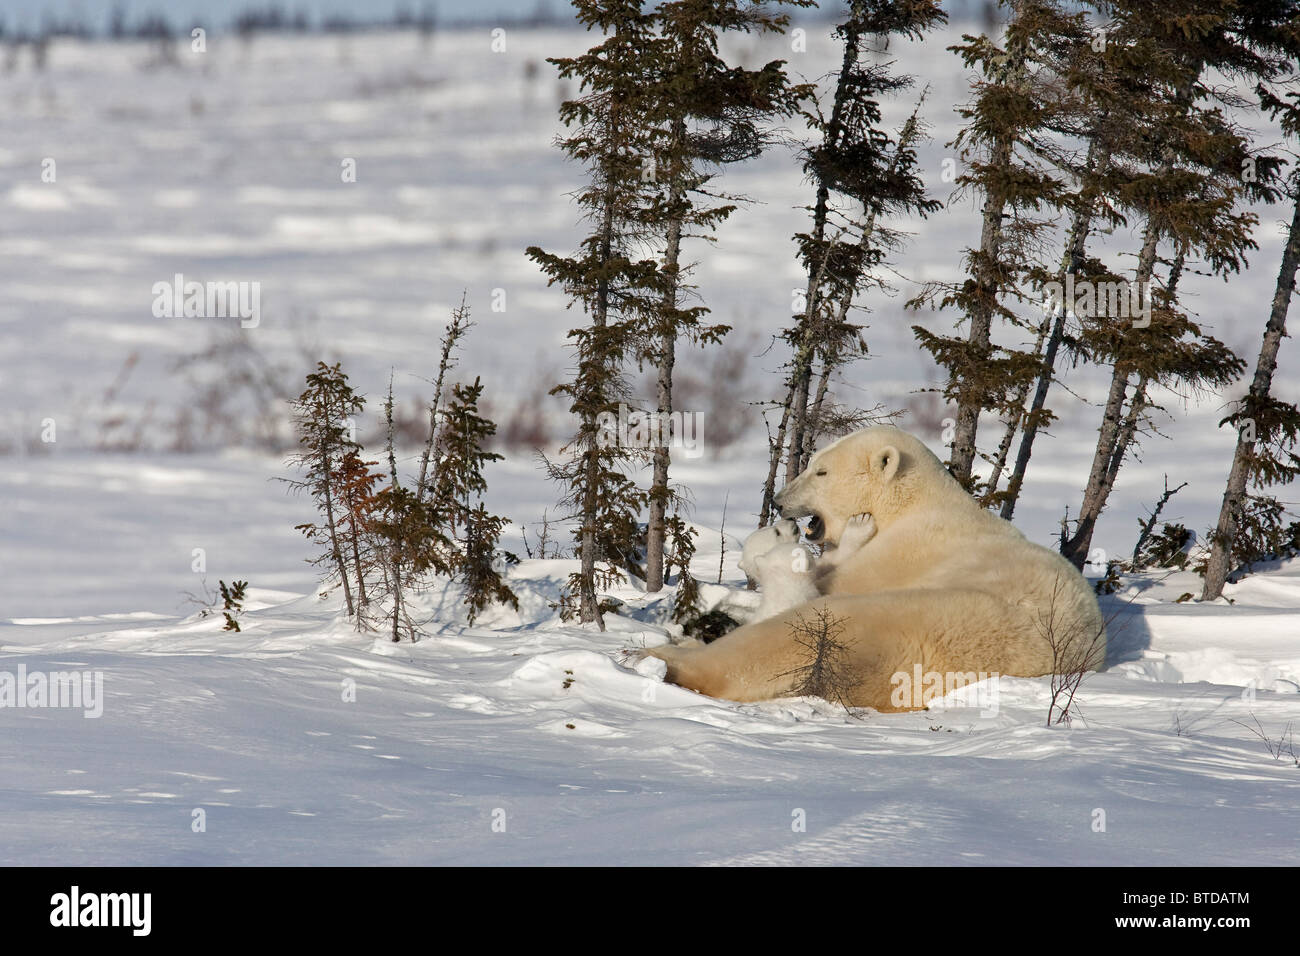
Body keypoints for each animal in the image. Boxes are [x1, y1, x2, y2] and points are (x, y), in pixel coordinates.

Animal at [642, 426, 1107, 712]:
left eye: (821, 470)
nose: (779, 500)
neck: (912, 505)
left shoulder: (901, 549)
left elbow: (831, 577)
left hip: (885, 625)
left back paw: (664, 654)